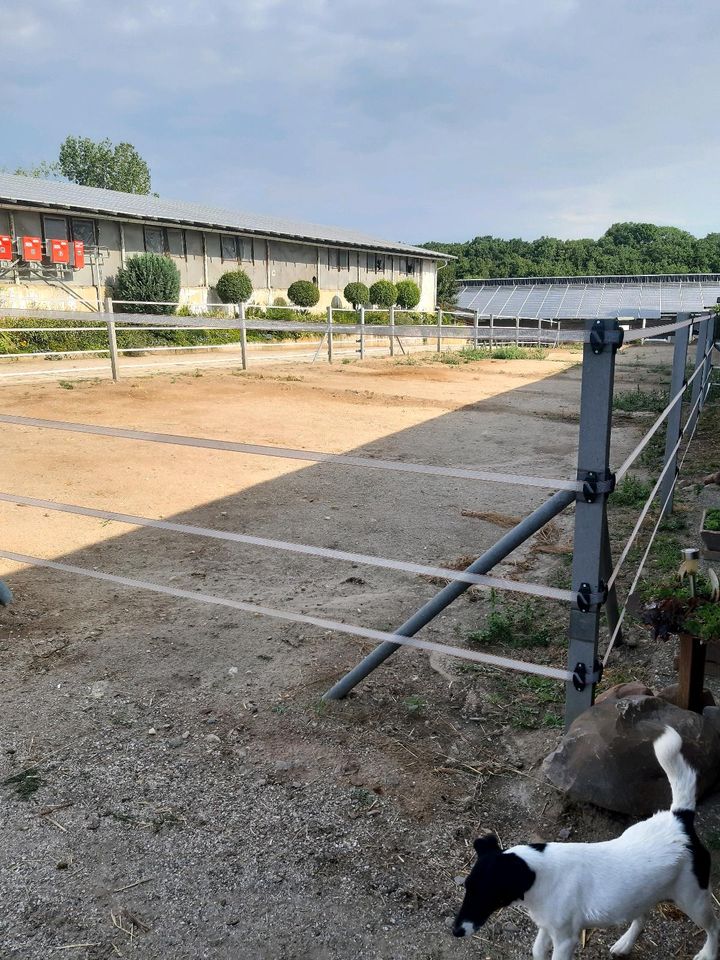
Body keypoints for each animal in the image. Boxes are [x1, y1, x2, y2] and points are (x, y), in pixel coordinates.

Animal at [452, 728, 716, 960]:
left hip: (693, 899)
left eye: (490, 895)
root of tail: (679, 819)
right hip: (644, 894)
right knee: (641, 918)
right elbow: (537, 951)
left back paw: (708, 954)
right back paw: (625, 944)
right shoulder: (547, 926)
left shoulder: (565, 939)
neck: (540, 875)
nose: (456, 931)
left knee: (714, 927)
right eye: (467, 888)